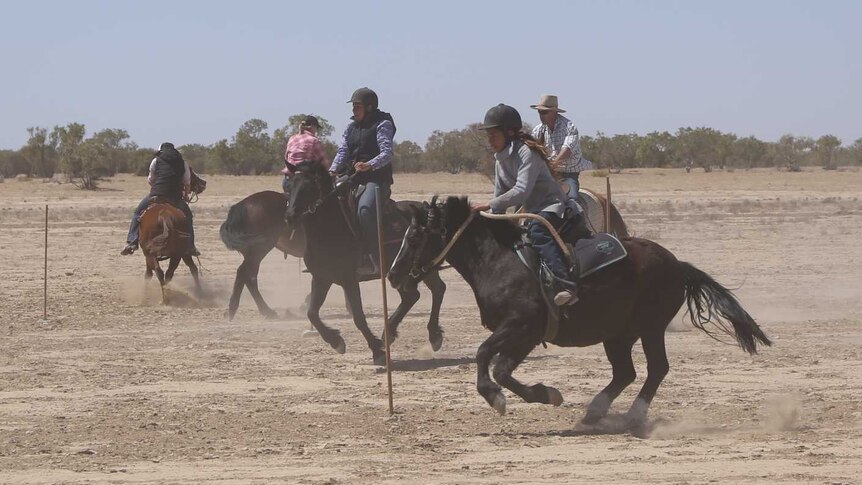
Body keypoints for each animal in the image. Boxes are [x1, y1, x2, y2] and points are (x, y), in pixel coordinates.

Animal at [286, 161, 448, 364]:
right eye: (289, 185)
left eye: (308, 187)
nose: (290, 216)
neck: (331, 227)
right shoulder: (321, 278)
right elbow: (312, 312)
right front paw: (336, 341)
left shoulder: (348, 279)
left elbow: (358, 316)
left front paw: (377, 350)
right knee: (422, 293)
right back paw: (405, 334)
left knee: (428, 292)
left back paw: (421, 335)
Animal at [388, 197, 772, 432]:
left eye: (417, 235)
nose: (392, 275)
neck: (499, 260)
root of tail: (677, 264)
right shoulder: (525, 335)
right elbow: (503, 369)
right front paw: (545, 394)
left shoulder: (520, 326)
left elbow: (486, 357)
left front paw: (497, 398)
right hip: (618, 335)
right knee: (626, 372)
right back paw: (595, 411)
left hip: (650, 328)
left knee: (656, 369)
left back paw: (633, 416)